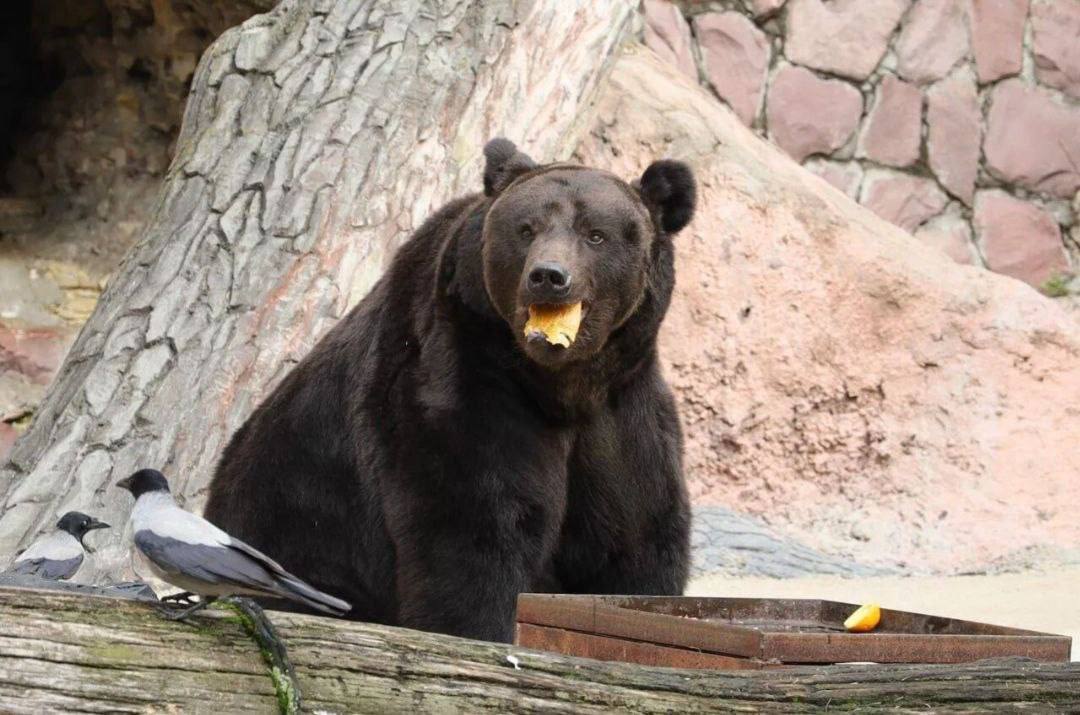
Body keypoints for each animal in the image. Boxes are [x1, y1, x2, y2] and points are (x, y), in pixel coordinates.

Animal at [205, 141, 695, 643]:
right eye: (526, 228)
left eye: (596, 234)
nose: (549, 275)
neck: (563, 384)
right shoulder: (464, 379)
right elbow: (473, 534)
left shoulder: (623, 414)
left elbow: (635, 537)